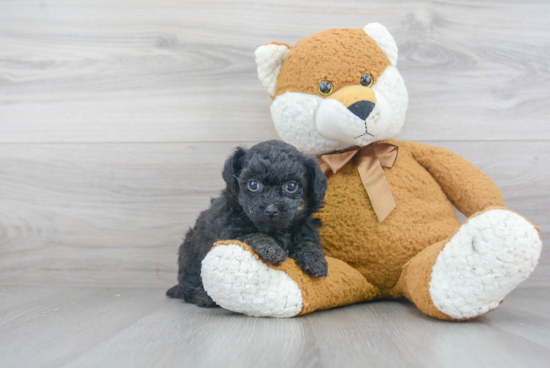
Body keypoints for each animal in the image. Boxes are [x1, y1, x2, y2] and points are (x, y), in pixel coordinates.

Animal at [168, 139, 330, 306]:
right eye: (253, 184)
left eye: (291, 186)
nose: (271, 209)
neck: (277, 231)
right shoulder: (231, 230)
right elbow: (254, 234)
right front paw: (271, 249)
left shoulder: (304, 226)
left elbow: (308, 241)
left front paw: (316, 260)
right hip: (189, 258)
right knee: (188, 284)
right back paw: (202, 296)